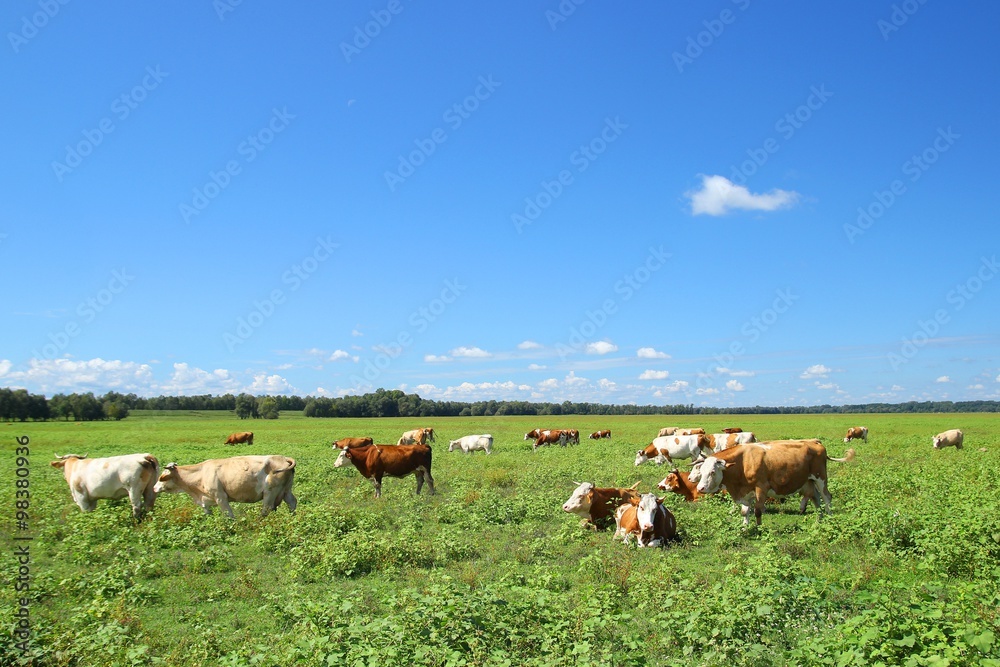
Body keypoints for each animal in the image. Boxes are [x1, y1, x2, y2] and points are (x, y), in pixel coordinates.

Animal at [150, 456, 294, 520]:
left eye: (162, 477)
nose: (154, 488)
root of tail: (283, 458)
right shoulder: (205, 500)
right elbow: (207, 512)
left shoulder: (220, 497)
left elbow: (229, 515)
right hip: (286, 490)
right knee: (292, 503)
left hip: (270, 492)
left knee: (267, 509)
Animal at [692, 440, 856, 528]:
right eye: (701, 470)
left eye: (713, 472)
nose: (700, 488)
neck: (743, 461)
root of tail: (815, 442)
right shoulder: (745, 491)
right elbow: (745, 511)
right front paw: (744, 527)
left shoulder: (761, 488)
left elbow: (757, 510)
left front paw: (758, 528)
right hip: (808, 481)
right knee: (816, 498)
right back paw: (818, 520)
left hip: (820, 478)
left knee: (826, 497)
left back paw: (829, 518)